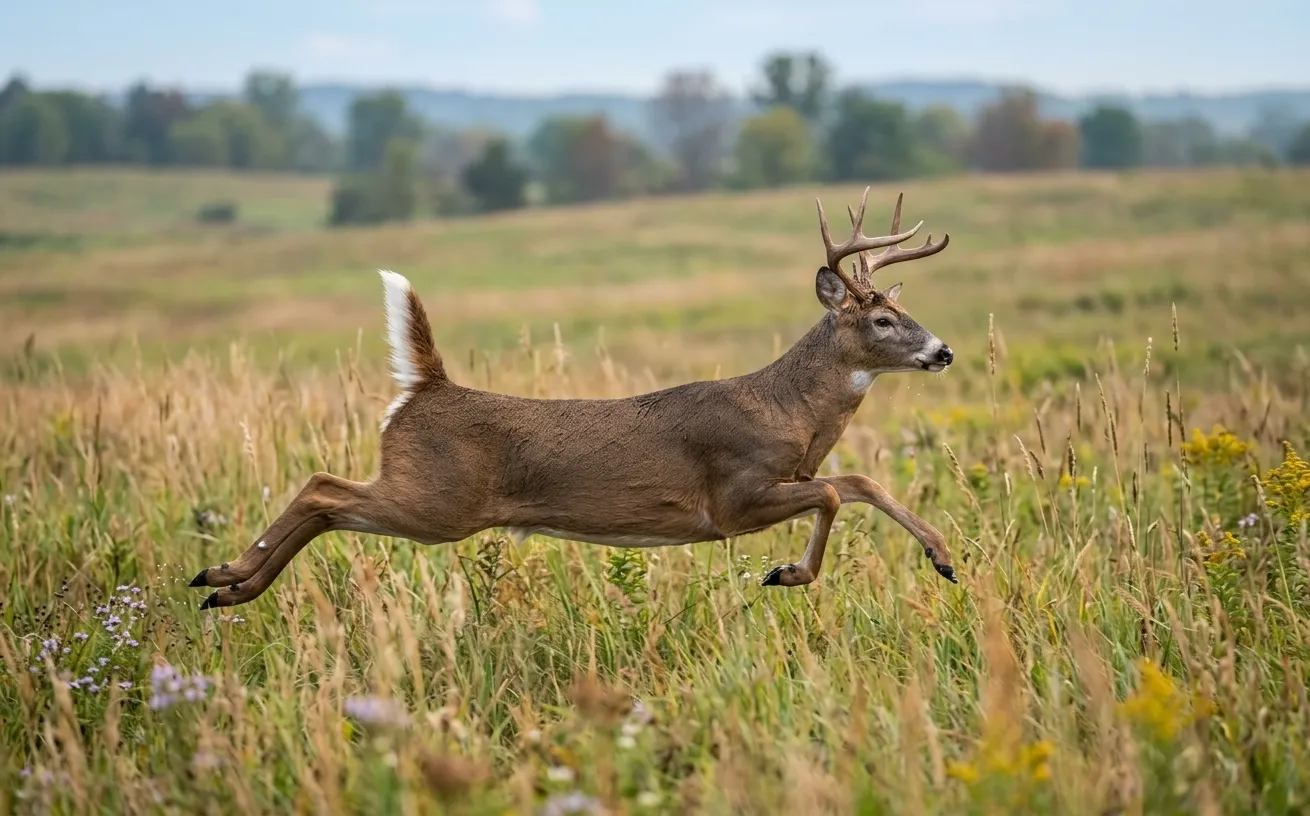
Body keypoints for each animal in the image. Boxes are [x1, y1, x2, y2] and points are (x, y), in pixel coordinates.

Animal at [189, 187, 959, 610]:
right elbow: (833, 492)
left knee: (325, 498)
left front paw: (944, 557)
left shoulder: (790, 473)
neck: (789, 413)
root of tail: (427, 387)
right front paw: (789, 572)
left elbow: (856, 481)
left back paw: (227, 587)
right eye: (881, 319)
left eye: (902, 308)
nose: (943, 351)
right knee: (322, 486)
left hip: (428, 498)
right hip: (436, 500)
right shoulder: (731, 498)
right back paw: (226, 573)